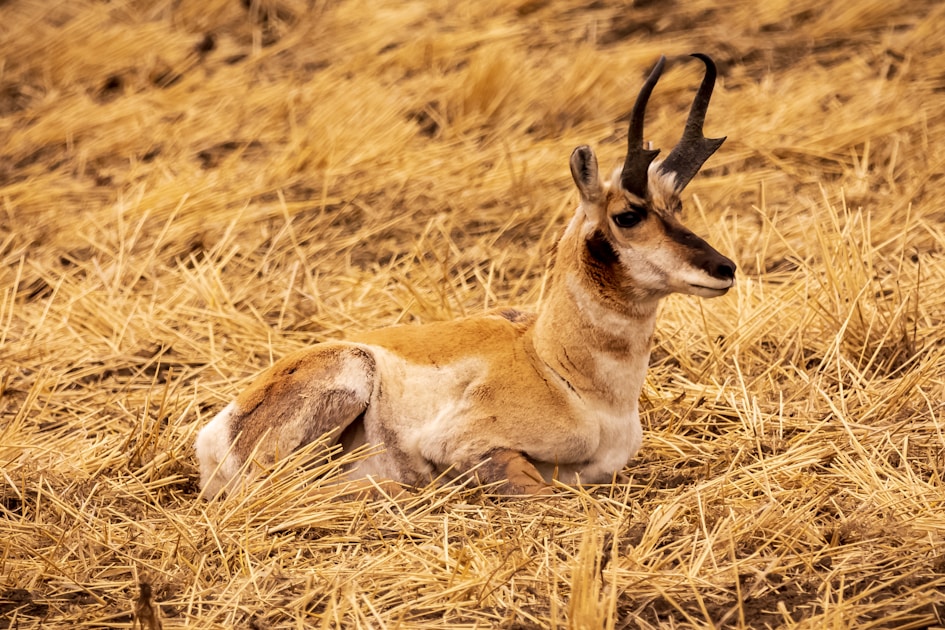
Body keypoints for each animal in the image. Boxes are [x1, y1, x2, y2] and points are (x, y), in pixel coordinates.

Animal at [196, 54, 736, 497]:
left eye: (677, 206)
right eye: (627, 215)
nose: (724, 268)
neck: (554, 364)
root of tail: (216, 431)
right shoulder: (470, 449)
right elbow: (536, 488)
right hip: (349, 376)